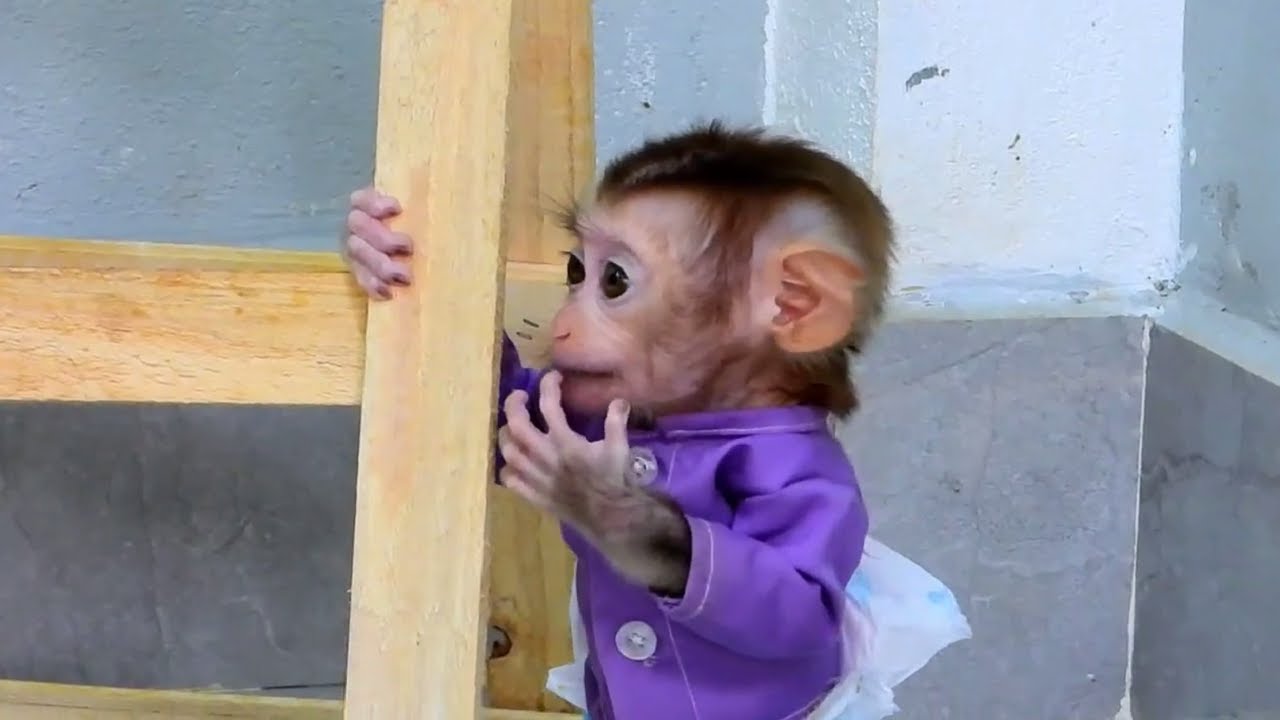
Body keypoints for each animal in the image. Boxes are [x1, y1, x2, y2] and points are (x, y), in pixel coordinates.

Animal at [341, 121, 894, 720]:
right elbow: (512, 400)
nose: (561, 325)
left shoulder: (805, 470)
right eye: (574, 270)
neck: (710, 419)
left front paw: (593, 495)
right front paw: (368, 243)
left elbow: (797, 601)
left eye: (613, 280)